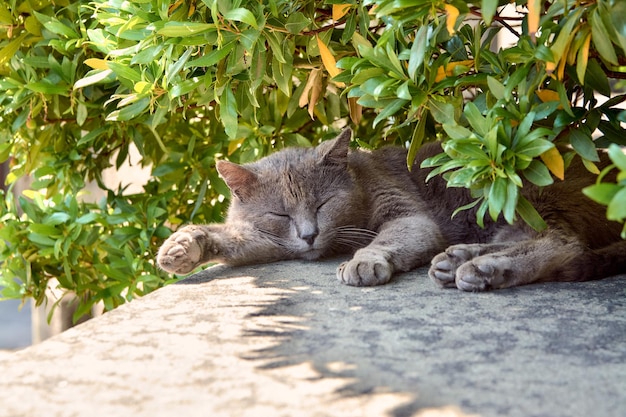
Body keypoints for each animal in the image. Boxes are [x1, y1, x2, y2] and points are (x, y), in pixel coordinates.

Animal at [156, 127, 624, 290]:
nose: (308, 234)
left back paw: (482, 269)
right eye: (280, 215)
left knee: (562, 242)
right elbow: (235, 237)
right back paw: (458, 259)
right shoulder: (269, 239)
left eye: (324, 204)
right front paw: (182, 248)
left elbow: (392, 235)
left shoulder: (405, 210)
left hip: (521, 195)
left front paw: (364, 262)